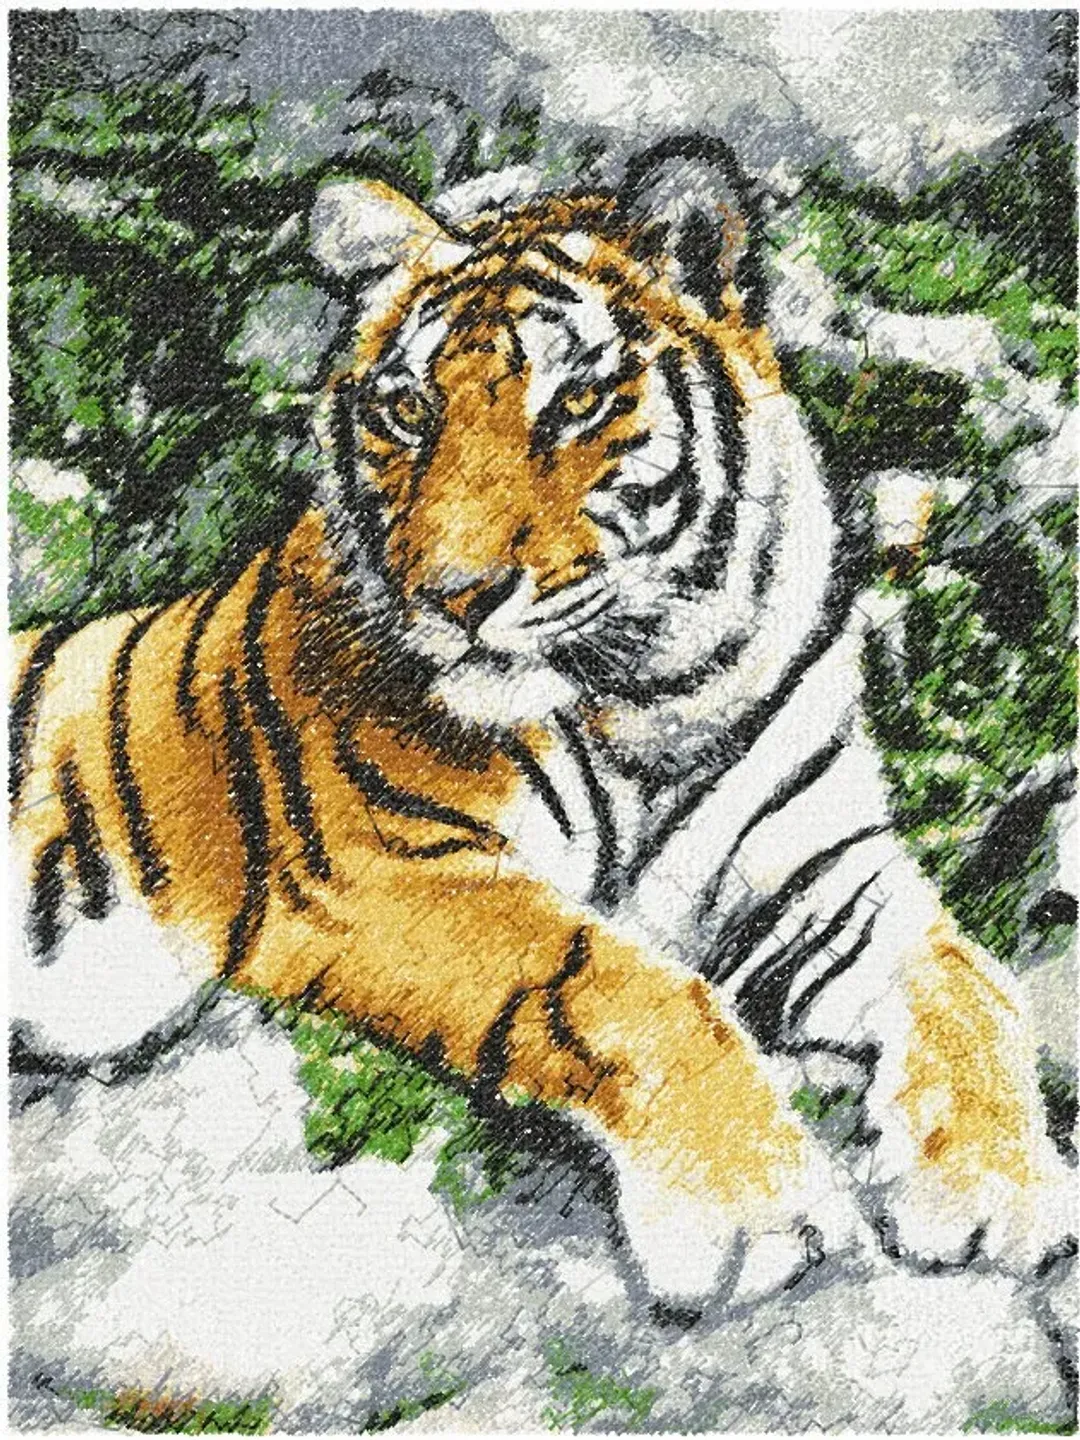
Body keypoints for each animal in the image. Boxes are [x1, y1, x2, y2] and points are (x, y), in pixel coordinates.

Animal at [10, 137, 1074, 1311]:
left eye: (574, 403)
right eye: (408, 412)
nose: (455, 594)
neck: (657, 688)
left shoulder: (832, 877)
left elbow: (965, 982)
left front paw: (995, 1187)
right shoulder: (379, 866)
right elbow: (617, 981)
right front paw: (751, 1212)